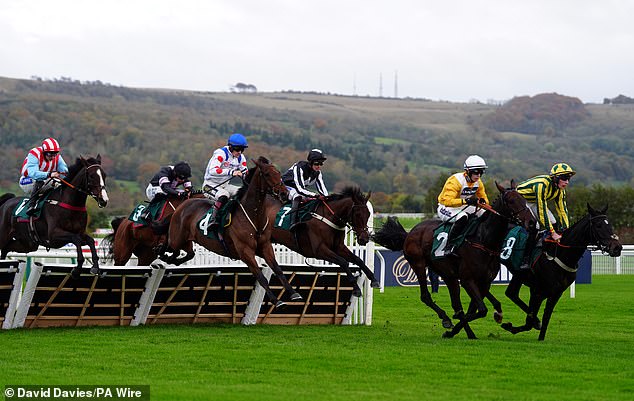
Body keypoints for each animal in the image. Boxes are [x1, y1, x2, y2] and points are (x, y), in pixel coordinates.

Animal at [155, 155, 298, 306]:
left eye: (278, 173)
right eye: (267, 174)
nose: (284, 193)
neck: (253, 215)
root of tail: (181, 206)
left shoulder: (265, 246)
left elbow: (278, 269)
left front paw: (294, 294)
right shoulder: (245, 251)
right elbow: (261, 277)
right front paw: (277, 301)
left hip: (187, 240)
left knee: (188, 253)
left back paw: (171, 259)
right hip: (177, 238)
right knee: (170, 246)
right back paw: (161, 254)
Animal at [372, 181, 536, 338]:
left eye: (523, 199)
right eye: (511, 201)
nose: (532, 222)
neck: (483, 240)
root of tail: (409, 233)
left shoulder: (485, 282)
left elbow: (473, 310)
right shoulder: (467, 280)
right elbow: (481, 310)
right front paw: (452, 329)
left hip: (447, 274)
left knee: (456, 304)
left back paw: (466, 330)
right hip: (418, 264)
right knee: (426, 296)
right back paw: (446, 319)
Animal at [498, 205, 624, 340]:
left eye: (610, 225)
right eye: (598, 225)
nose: (617, 247)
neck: (560, 253)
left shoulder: (556, 293)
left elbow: (546, 318)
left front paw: (540, 337)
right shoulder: (537, 292)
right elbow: (529, 322)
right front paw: (510, 326)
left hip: (518, 275)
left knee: (511, 293)